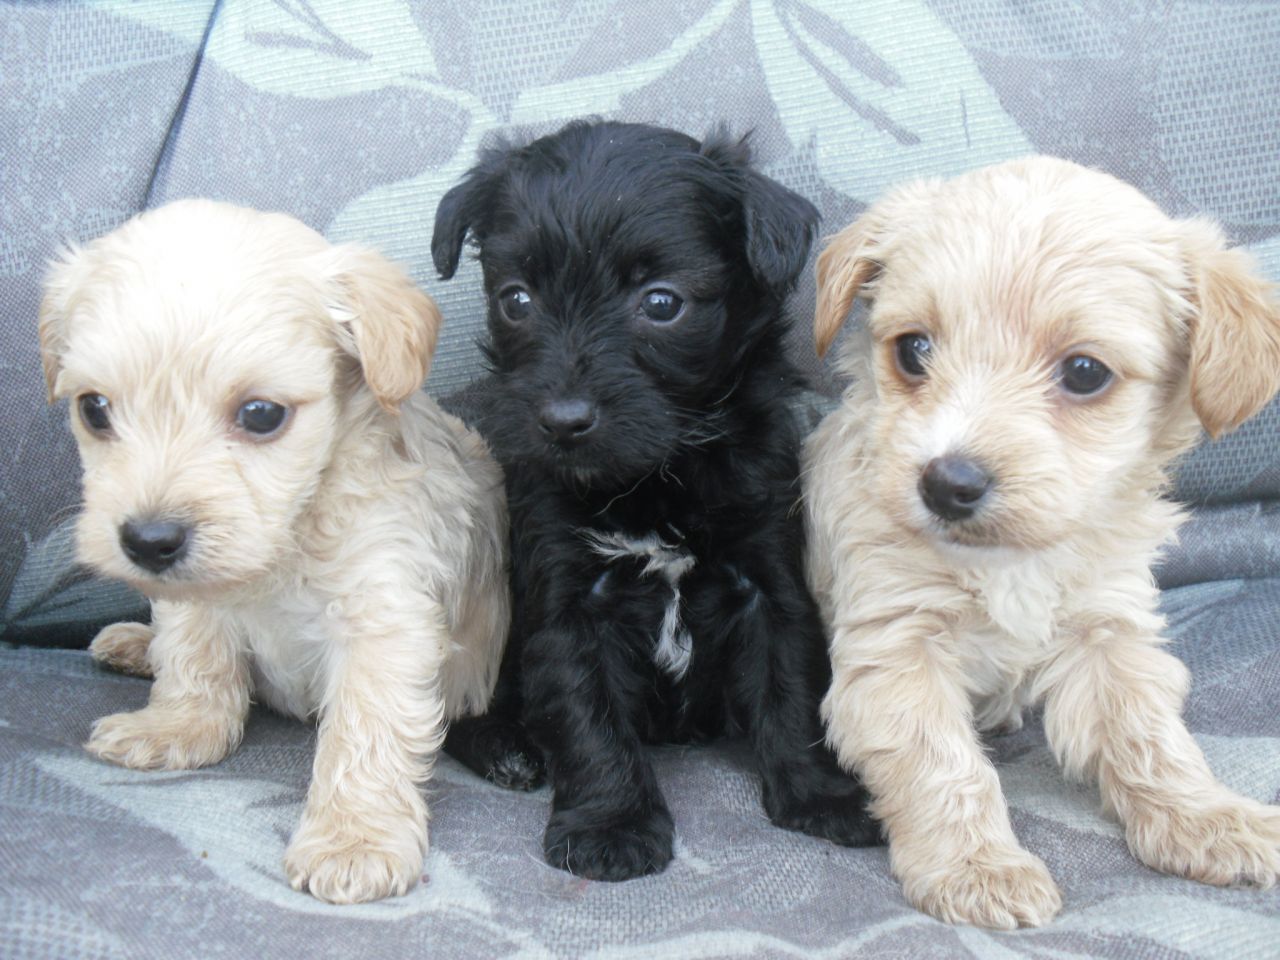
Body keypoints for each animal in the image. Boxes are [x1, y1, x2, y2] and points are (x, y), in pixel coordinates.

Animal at [40, 199, 509, 906]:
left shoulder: (384, 617)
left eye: (261, 414)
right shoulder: (197, 597)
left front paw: (353, 837)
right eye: (94, 409)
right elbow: (193, 653)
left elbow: (365, 728)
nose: (149, 542)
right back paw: (133, 643)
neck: (291, 536)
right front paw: (178, 727)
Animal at [430, 116, 880, 885]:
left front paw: (822, 796)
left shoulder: (769, 578)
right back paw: (507, 749)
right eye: (516, 299)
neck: (654, 476)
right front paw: (612, 825)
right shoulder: (567, 600)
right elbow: (590, 718)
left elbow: (790, 689)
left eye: (662, 302)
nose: (563, 420)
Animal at [803, 158, 1280, 931]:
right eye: (913, 350)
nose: (948, 483)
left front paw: (1207, 819)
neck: (1011, 561)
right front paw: (978, 869)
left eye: (1084, 372)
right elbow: (944, 764)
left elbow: (1150, 737)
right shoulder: (898, 642)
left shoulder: (1108, 631)